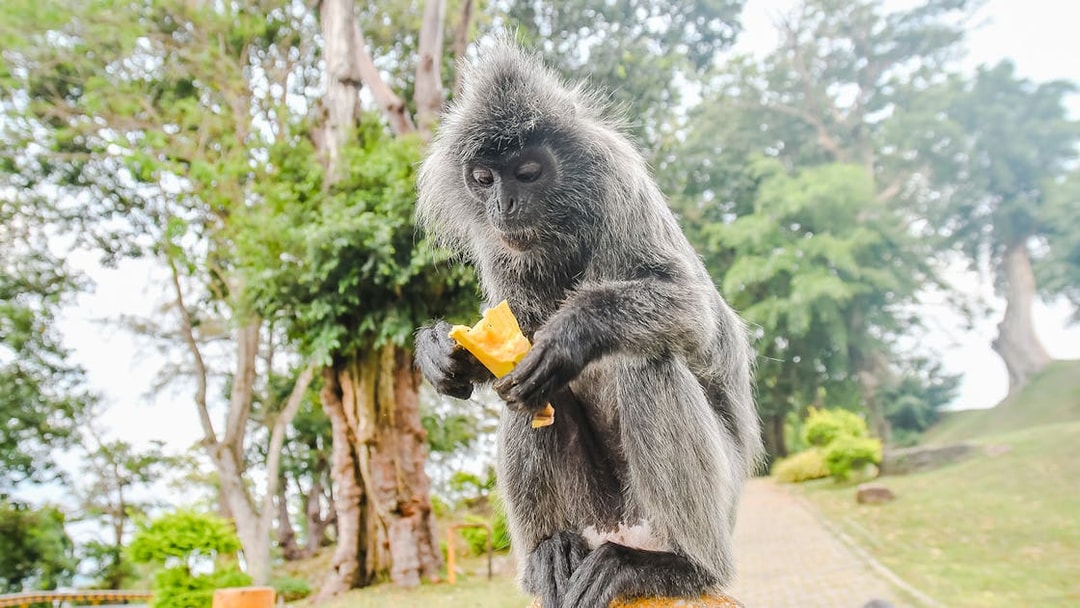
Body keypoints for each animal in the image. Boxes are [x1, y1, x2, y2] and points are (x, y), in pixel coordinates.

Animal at [414, 37, 763, 608]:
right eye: (483, 179)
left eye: (527, 172)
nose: (503, 205)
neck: (562, 232)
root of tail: (623, 527)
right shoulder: (501, 250)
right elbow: (512, 336)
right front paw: (445, 353)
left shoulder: (620, 186)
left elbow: (693, 310)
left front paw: (567, 337)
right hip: (594, 507)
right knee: (524, 396)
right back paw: (550, 553)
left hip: (716, 493)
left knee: (648, 361)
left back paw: (680, 566)